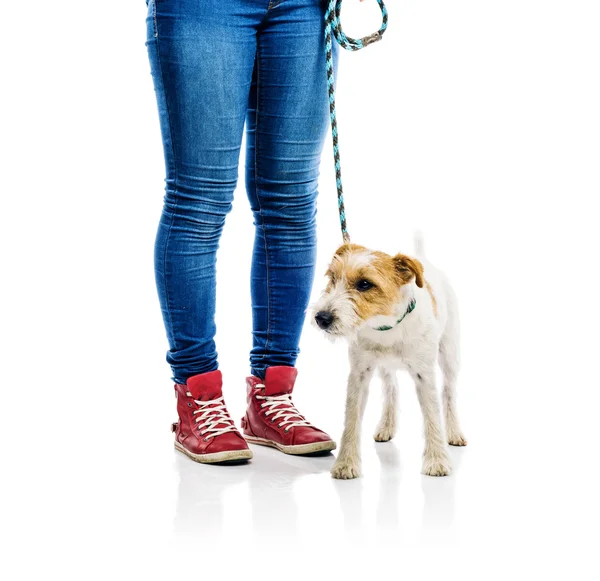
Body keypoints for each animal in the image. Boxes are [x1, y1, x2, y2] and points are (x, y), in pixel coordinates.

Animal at [312, 233, 466, 478]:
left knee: (449, 393)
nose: (321, 318)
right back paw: (386, 426)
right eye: (333, 278)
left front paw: (437, 460)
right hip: (384, 367)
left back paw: (454, 433)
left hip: (450, 354)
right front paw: (346, 463)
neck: (386, 326)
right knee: (391, 388)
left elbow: (432, 415)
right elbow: (351, 419)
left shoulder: (424, 375)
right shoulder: (359, 374)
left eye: (365, 284)